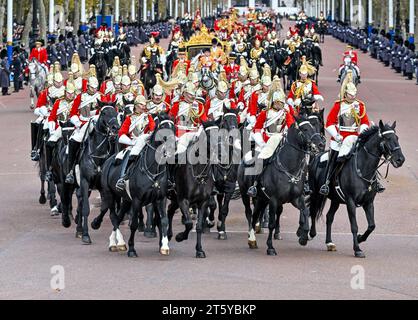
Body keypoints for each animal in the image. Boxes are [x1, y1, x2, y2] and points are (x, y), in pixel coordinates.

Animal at [238, 114, 324, 255]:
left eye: (315, 126)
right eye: (305, 129)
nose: (321, 144)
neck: (289, 167)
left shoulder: (296, 198)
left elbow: (305, 212)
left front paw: (303, 237)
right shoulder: (274, 199)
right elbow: (272, 223)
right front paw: (270, 247)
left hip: (261, 198)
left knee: (255, 215)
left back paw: (253, 240)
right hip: (246, 194)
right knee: (249, 214)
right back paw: (252, 239)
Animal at [308, 120, 404, 258]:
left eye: (397, 138)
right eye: (387, 138)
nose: (400, 160)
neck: (363, 169)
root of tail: (315, 157)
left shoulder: (368, 202)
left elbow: (372, 225)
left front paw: (360, 238)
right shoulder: (350, 202)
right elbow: (354, 225)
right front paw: (357, 249)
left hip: (336, 200)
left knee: (329, 216)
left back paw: (329, 242)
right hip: (316, 194)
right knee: (313, 211)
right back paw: (310, 234)